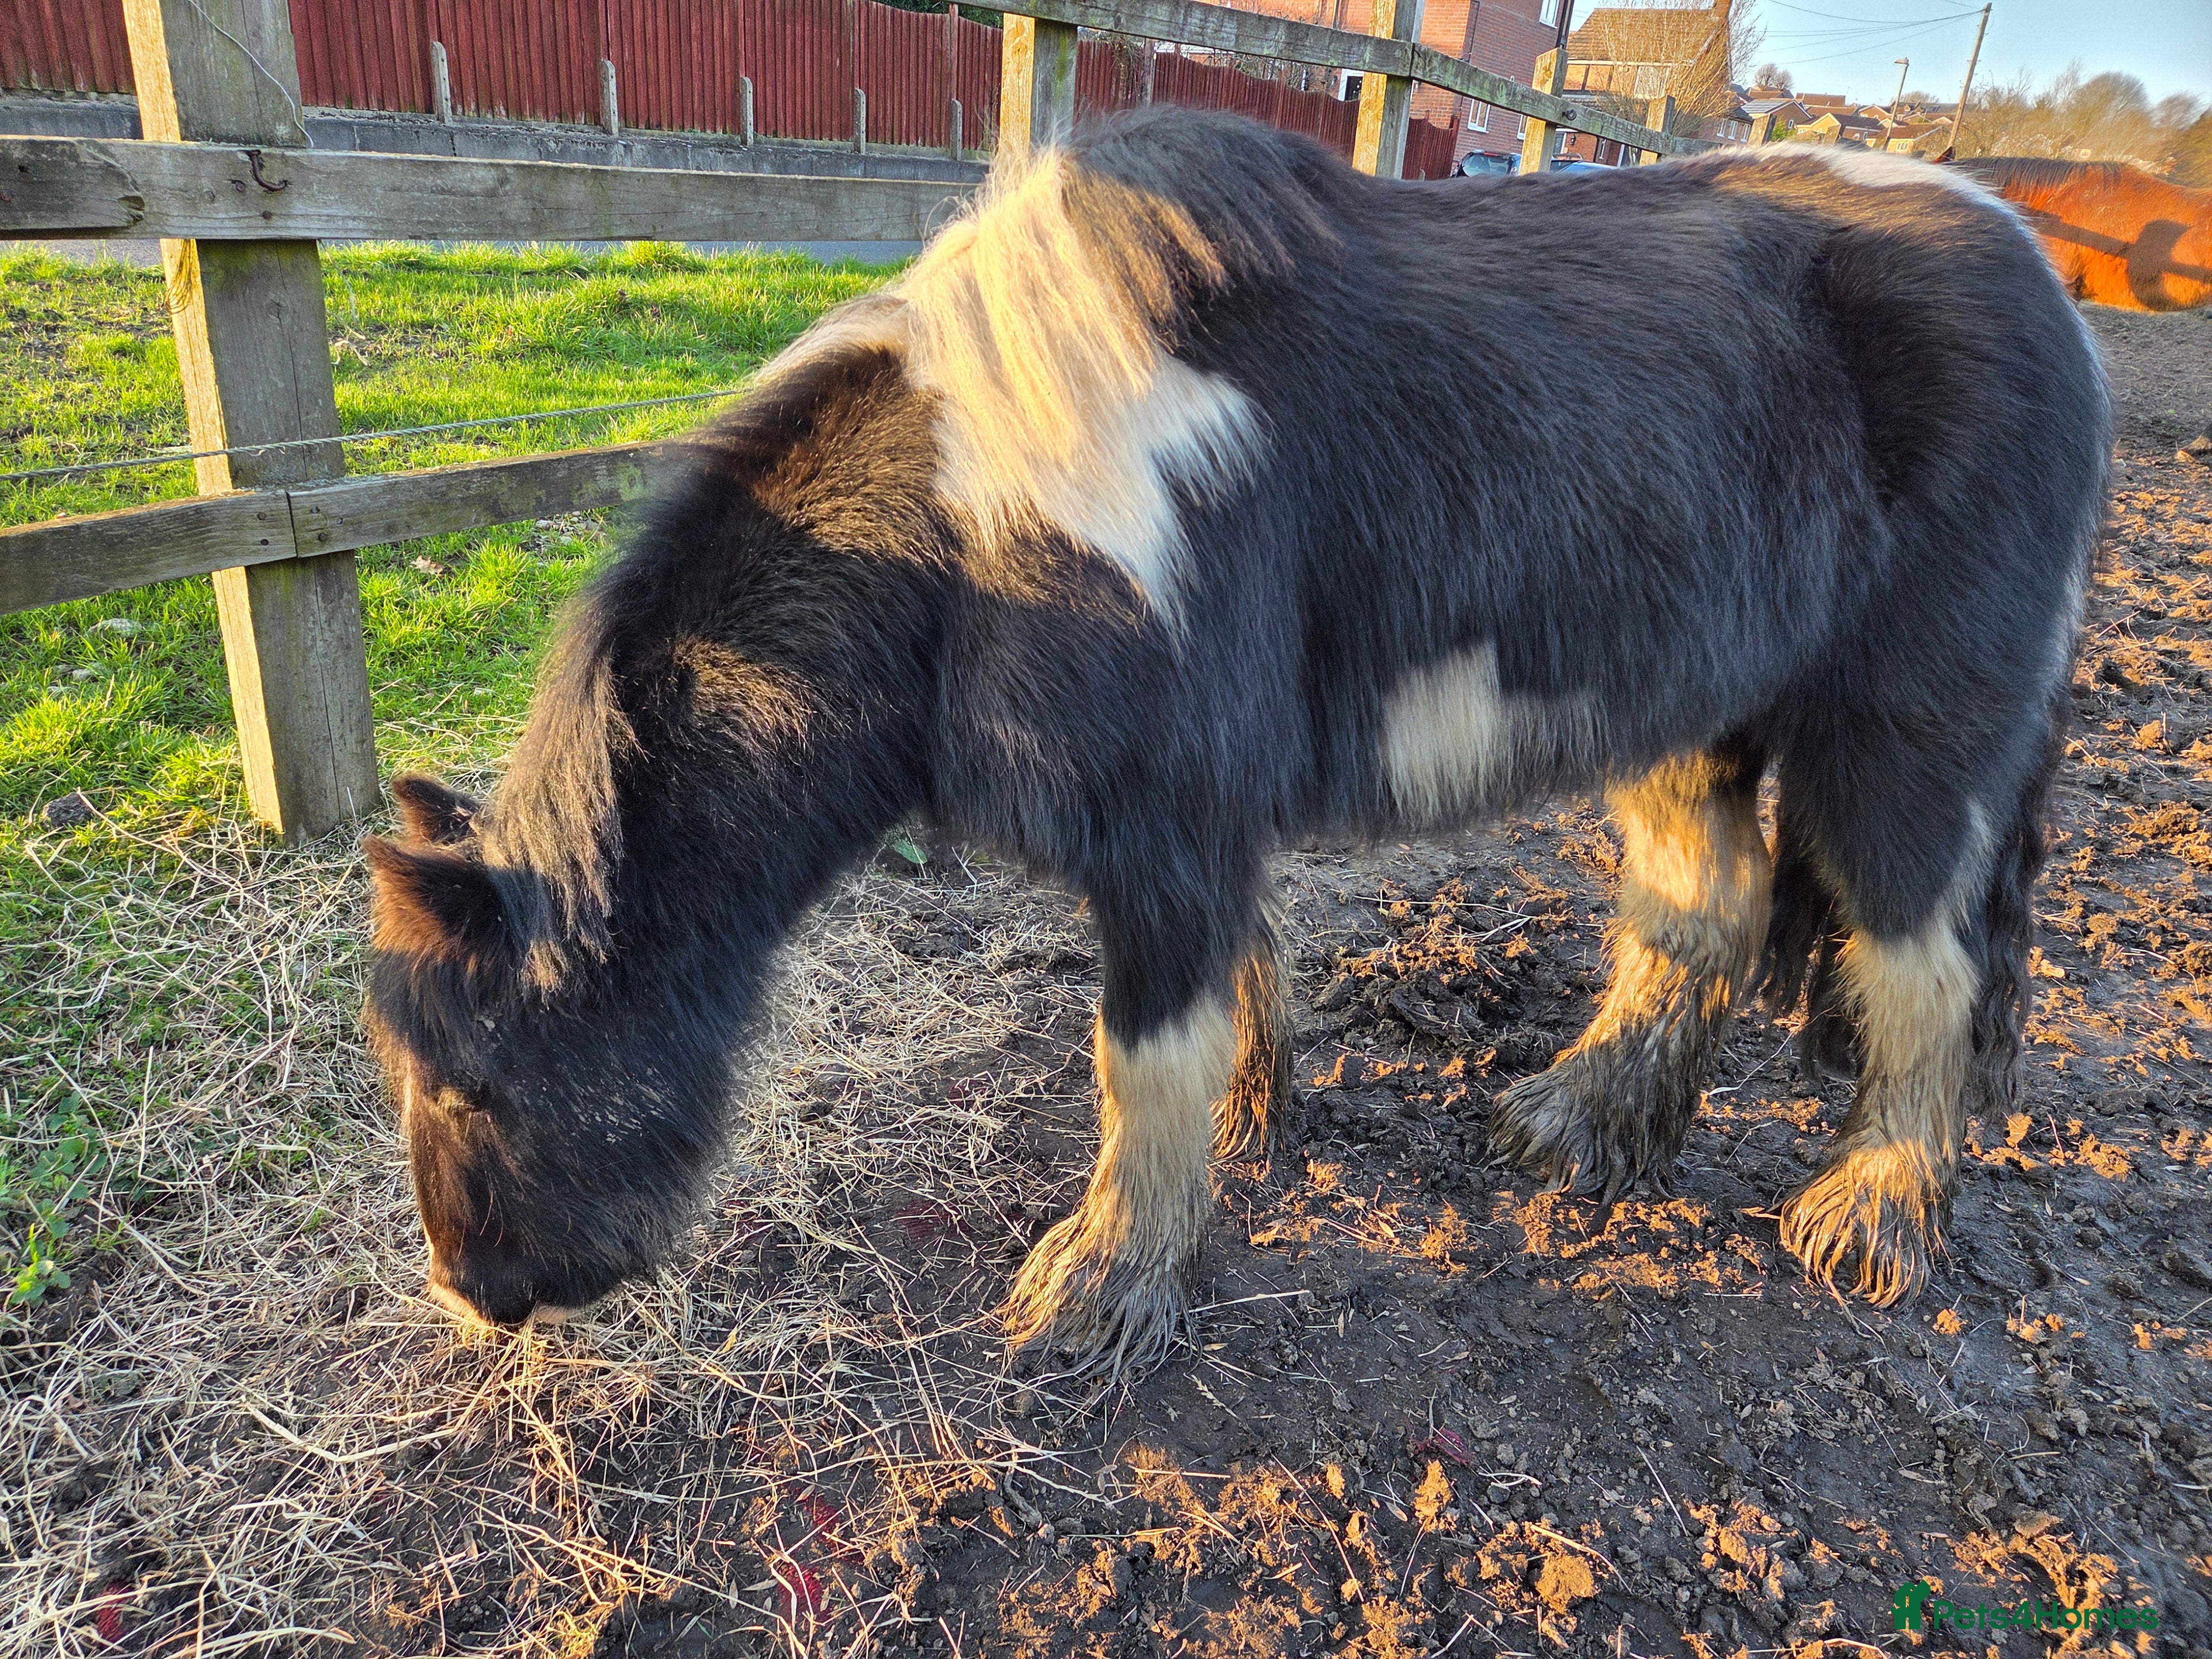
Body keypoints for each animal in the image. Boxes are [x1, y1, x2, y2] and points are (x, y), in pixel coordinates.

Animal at [362, 110, 2110, 1374]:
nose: (475, 1293)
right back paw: (1583, 1124)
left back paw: (1872, 1214)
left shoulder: (1168, 829)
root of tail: (2047, 284)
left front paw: (1098, 1289)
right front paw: (1250, 1143)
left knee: (1927, 954)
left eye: (474, 1077)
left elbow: (1142, 1059)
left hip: (1905, 731)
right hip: (1693, 719)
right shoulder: (1197, 827)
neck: (969, 526)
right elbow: (1243, 994)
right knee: (1709, 906)